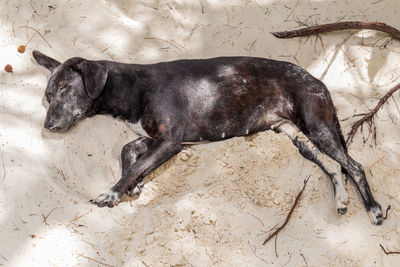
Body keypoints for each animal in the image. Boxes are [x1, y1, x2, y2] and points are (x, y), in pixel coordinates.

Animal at [32, 50, 382, 226]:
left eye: (65, 88)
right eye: (47, 96)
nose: (48, 126)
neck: (131, 85)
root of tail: (317, 81)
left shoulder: (170, 141)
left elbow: (134, 164)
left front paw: (113, 193)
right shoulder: (157, 138)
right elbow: (127, 151)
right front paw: (135, 186)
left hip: (317, 126)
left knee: (354, 165)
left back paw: (373, 208)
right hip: (297, 136)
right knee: (333, 166)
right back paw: (341, 200)